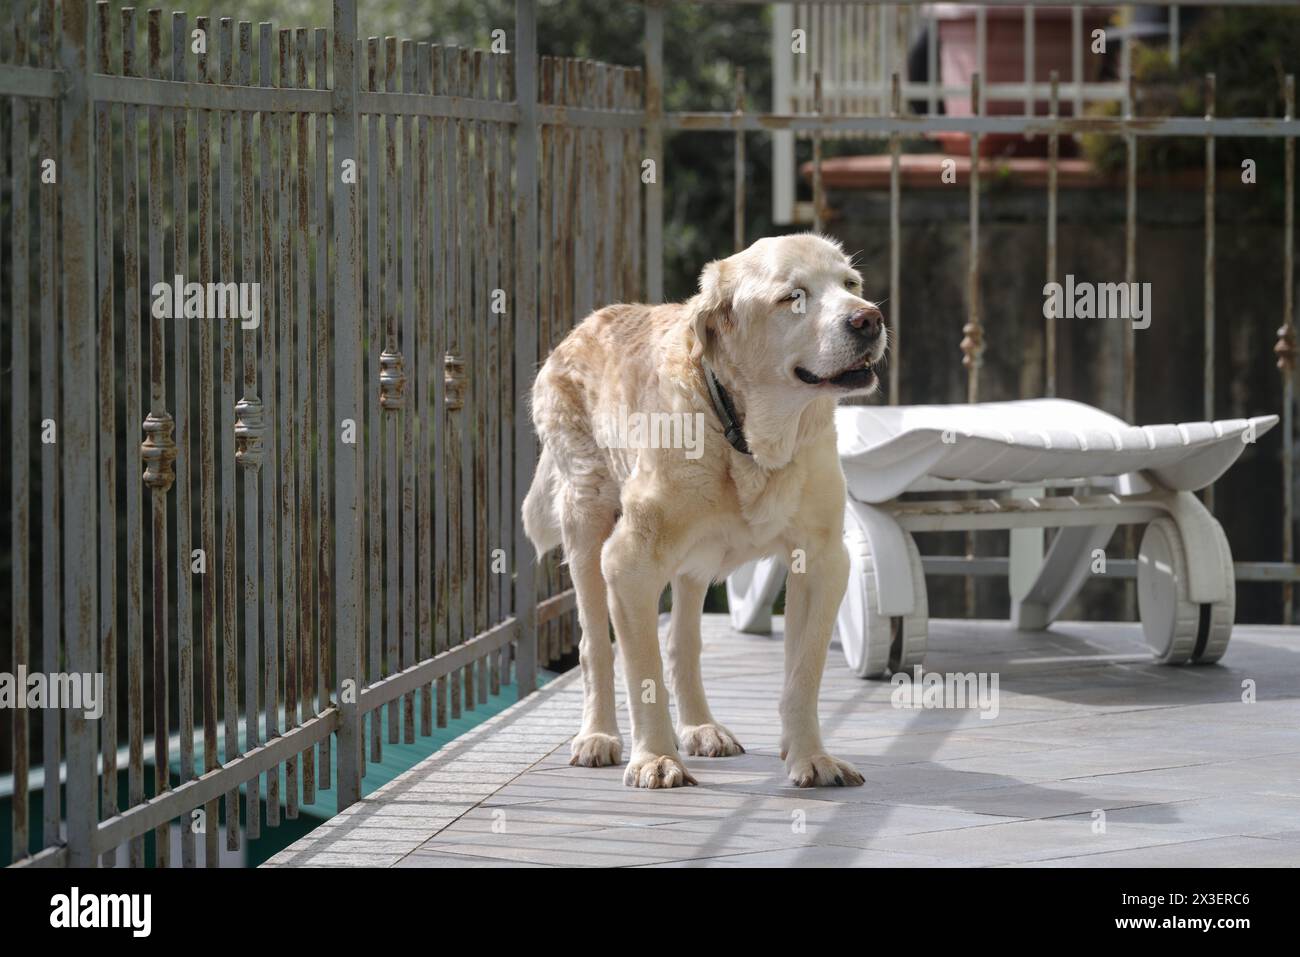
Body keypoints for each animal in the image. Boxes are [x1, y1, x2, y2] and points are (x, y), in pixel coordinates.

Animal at [520, 231, 883, 785]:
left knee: (682, 643)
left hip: (694, 559)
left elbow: (804, 674)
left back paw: (700, 728)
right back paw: (598, 736)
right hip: (586, 525)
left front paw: (810, 756)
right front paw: (655, 758)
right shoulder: (628, 563)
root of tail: (580, 328)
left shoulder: (822, 561)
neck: (750, 440)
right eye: (793, 297)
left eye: (850, 284)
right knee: (594, 646)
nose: (869, 319)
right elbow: (642, 674)